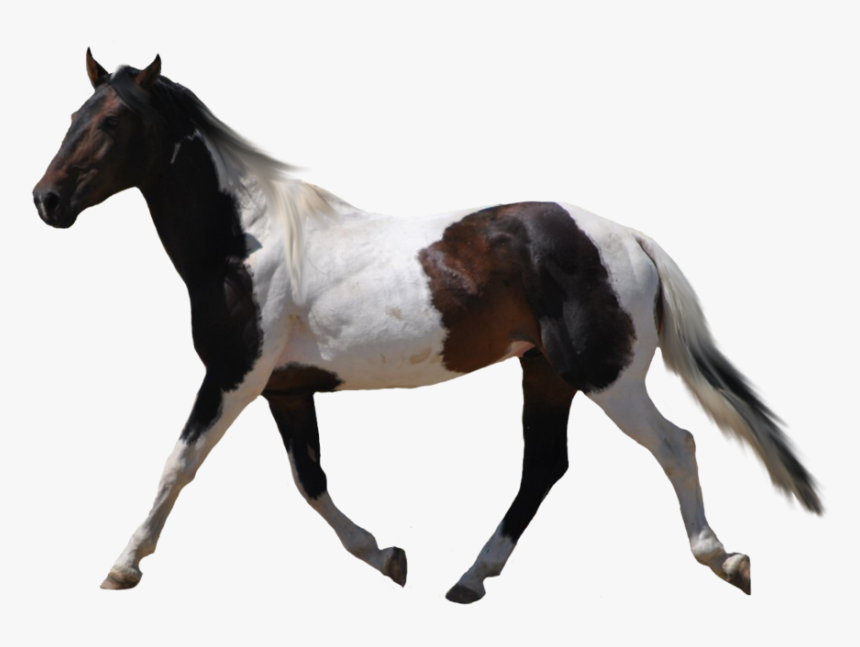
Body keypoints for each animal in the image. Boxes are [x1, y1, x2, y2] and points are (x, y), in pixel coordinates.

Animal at [32, 50, 821, 603]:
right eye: (73, 116)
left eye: (110, 122)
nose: (46, 200)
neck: (244, 244)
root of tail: (627, 237)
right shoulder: (284, 388)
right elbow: (309, 479)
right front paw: (389, 557)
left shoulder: (233, 376)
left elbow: (179, 463)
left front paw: (122, 566)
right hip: (546, 373)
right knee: (544, 467)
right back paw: (469, 578)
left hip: (607, 377)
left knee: (675, 444)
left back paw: (726, 559)